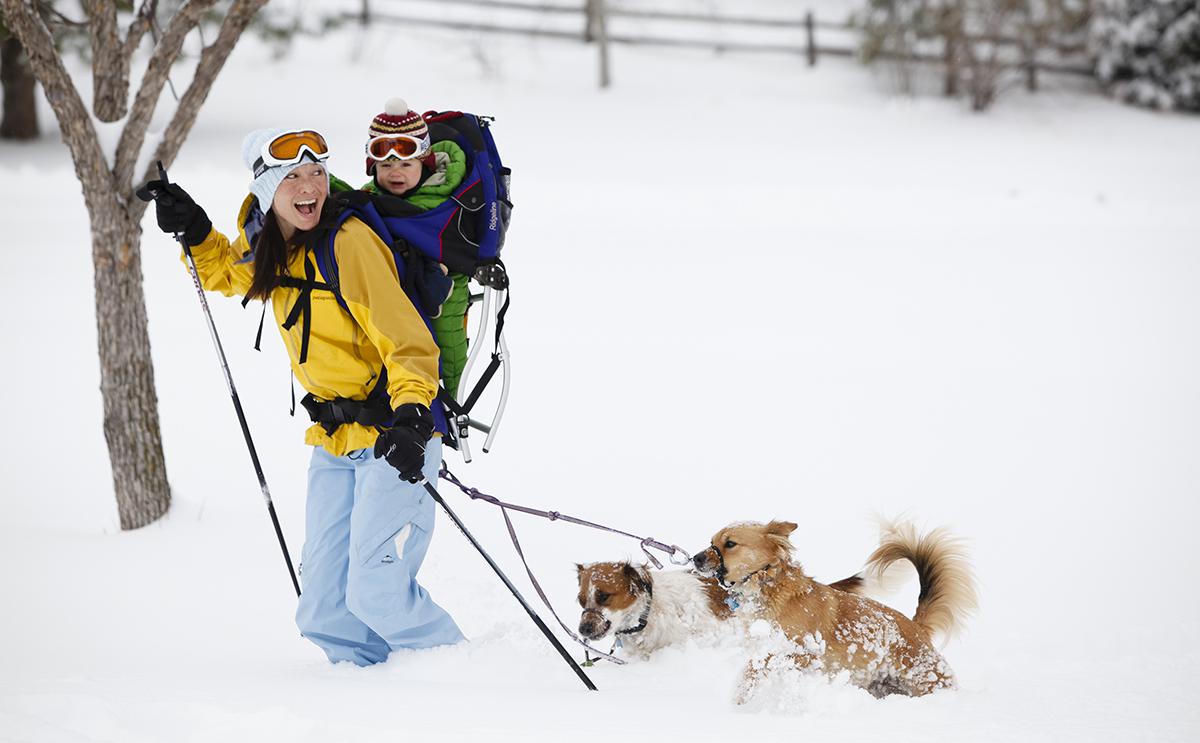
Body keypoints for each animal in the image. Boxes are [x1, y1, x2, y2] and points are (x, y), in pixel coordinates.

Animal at [691, 520, 979, 700]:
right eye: (711, 541)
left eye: (730, 544)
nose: (695, 558)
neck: (768, 586)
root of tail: (917, 626)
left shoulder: (800, 651)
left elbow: (757, 667)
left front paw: (741, 697)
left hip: (927, 679)